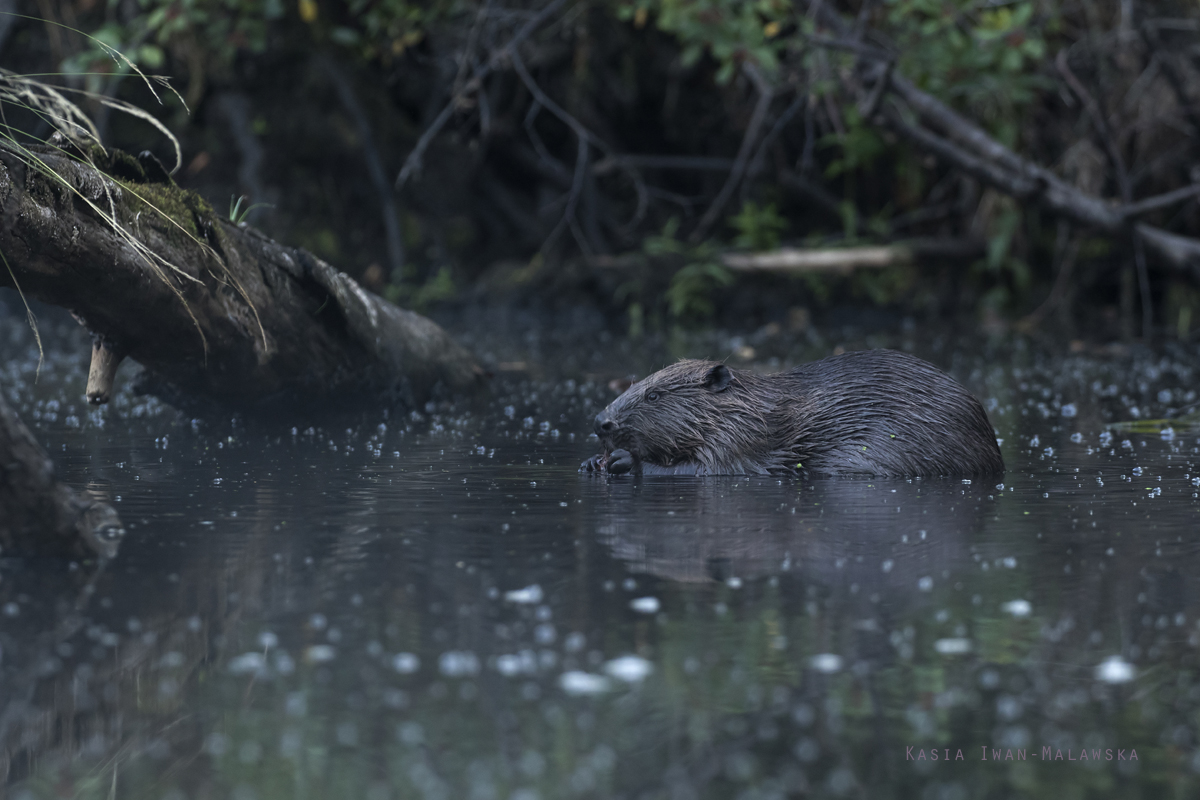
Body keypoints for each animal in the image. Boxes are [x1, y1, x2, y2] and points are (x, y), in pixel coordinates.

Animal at [580, 347, 1003, 474]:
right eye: (634, 385)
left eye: (654, 395)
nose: (601, 422)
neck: (750, 407)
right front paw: (589, 463)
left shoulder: (740, 440)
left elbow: (704, 471)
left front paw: (621, 460)